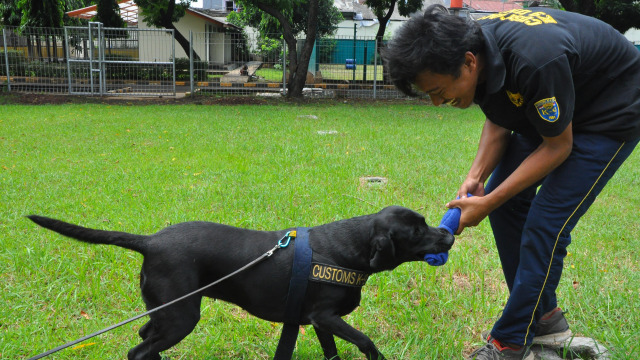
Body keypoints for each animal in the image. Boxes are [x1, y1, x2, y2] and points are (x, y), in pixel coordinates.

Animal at [26, 205, 456, 360]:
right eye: (417, 232)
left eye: (425, 222)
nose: (450, 236)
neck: (348, 248)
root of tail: (149, 241)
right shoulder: (326, 317)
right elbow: (366, 341)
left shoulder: (319, 321)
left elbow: (333, 353)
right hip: (181, 316)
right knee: (138, 350)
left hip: (166, 312)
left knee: (144, 338)